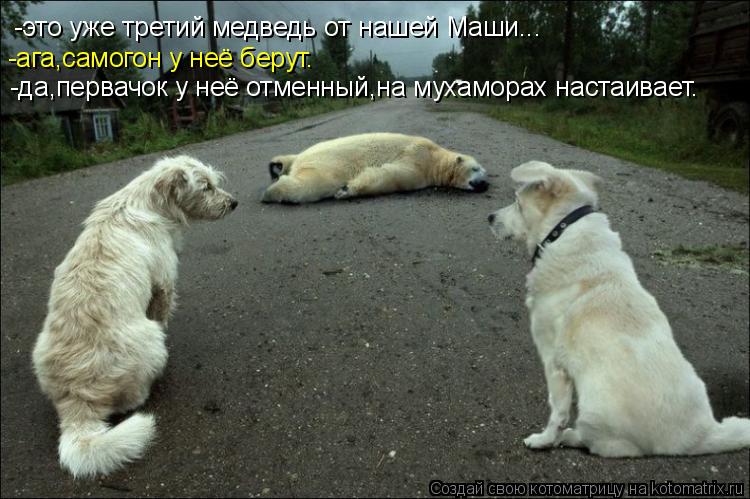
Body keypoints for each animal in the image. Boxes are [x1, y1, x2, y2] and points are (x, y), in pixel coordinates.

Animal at [261, 133, 489, 203]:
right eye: (476, 169)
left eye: (485, 173)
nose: (484, 184)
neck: (437, 158)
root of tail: (300, 157)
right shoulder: (418, 158)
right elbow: (393, 176)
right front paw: (346, 190)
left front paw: (346, 190)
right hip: (324, 165)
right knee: (313, 184)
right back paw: (271, 191)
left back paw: (276, 167)